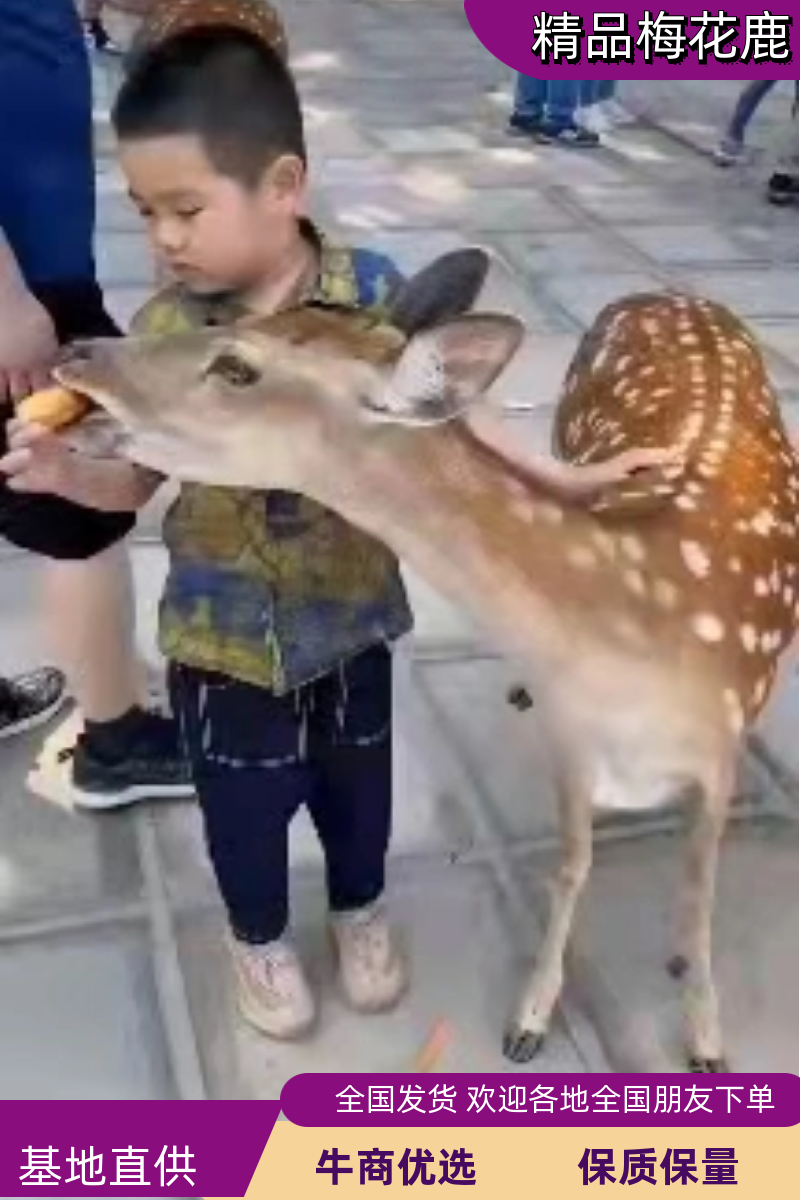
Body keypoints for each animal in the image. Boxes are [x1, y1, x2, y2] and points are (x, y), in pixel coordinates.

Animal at [53, 248, 799, 1072]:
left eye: (238, 366)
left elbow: (697, 897)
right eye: (239, 324)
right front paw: (529, 1022)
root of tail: (663, 295)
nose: (78, 353)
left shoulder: (719, 757)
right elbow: (570, 869)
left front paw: (707, 1042)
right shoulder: (574, 754)